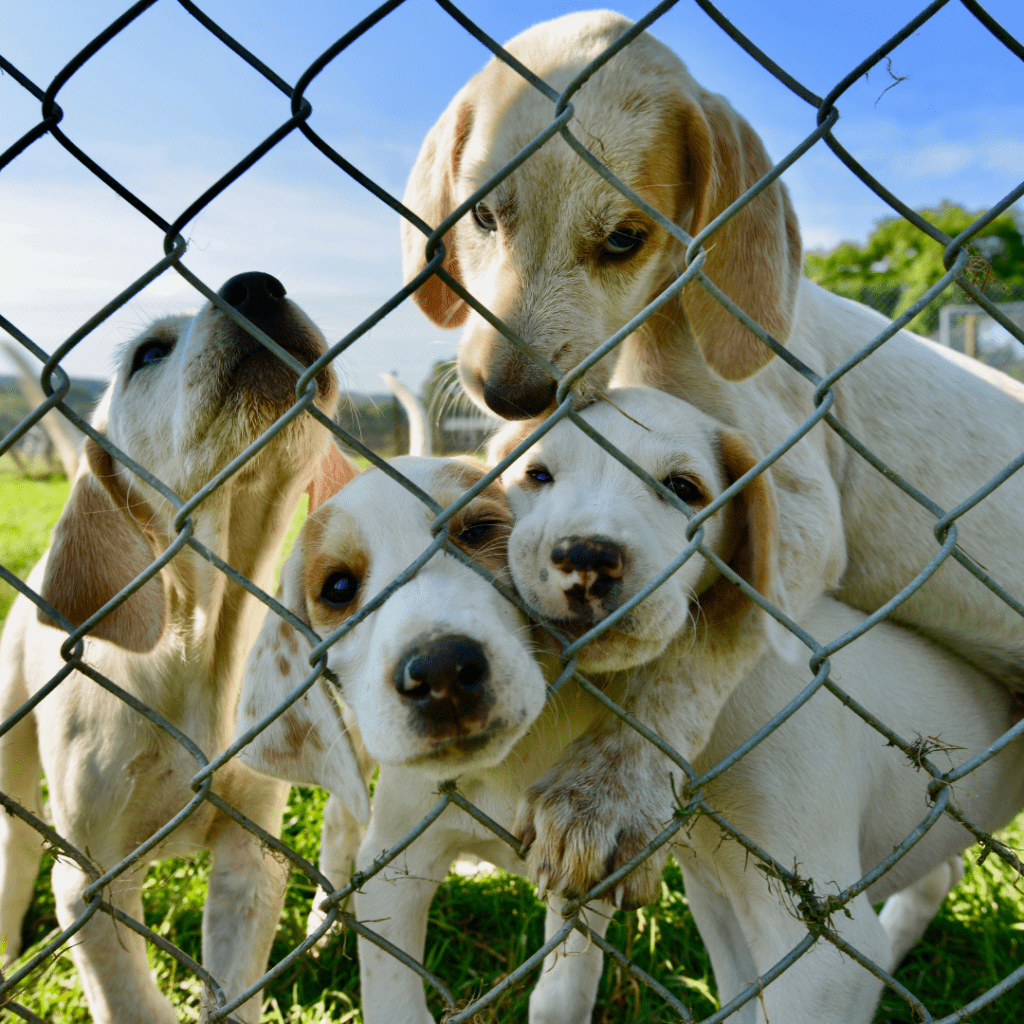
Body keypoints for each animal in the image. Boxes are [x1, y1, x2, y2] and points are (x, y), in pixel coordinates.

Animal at [0, 272, 360, 1024]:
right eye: (147, 354)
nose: (256, 287)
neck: (202, 652)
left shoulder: (252, 858)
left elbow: (235, 988)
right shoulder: (89, 882)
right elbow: (131, 1000)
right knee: (14, 848)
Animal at [399, 8, 1024, 905]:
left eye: (625, 239)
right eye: (483, 217)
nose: (507, 393)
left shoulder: (793, 515)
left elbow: (702, 645)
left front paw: (606, 791)